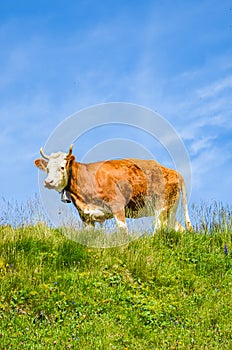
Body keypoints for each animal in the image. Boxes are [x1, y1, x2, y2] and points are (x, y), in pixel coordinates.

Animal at [34, 144, 192, 232]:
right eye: (47, 169)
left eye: (62, 167)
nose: (48, 181)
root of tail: (172, 171)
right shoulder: (85, 216)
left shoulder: (117, 206)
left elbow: (122, 231)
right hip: (170, 209)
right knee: (179, 229)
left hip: (161, 206)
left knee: (159, 229)